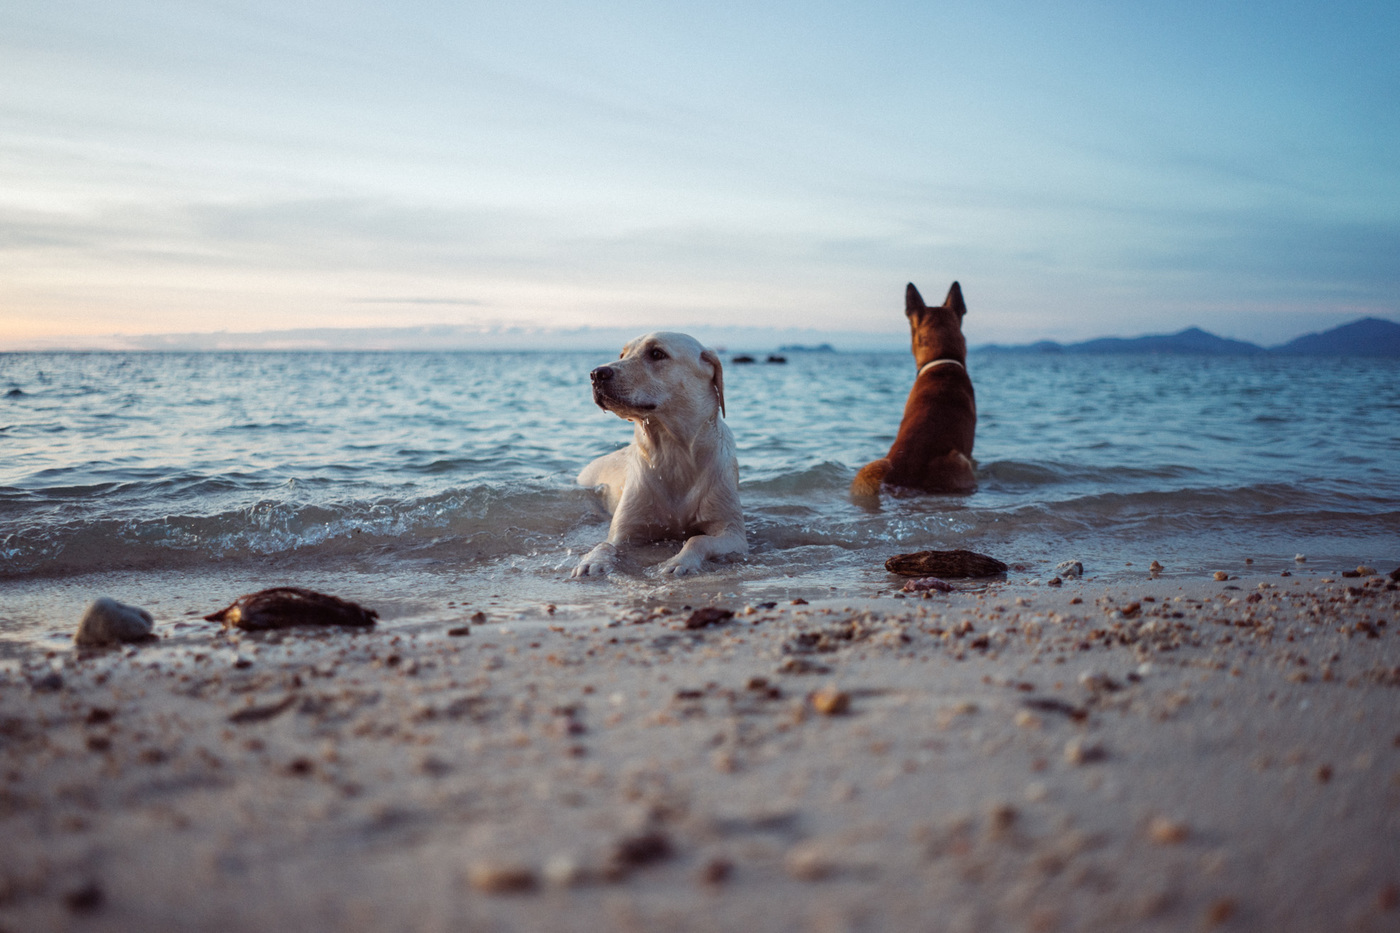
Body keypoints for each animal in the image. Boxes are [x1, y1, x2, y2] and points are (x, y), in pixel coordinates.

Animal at [571, 326, 744, 574]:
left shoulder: (733, 532)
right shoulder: (624, 532)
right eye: (622, 354)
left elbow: (697, 539)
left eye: (656, 354)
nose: (596, 374)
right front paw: (592, 560)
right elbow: (605, 544)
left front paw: (679, 561)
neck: (671, 450)